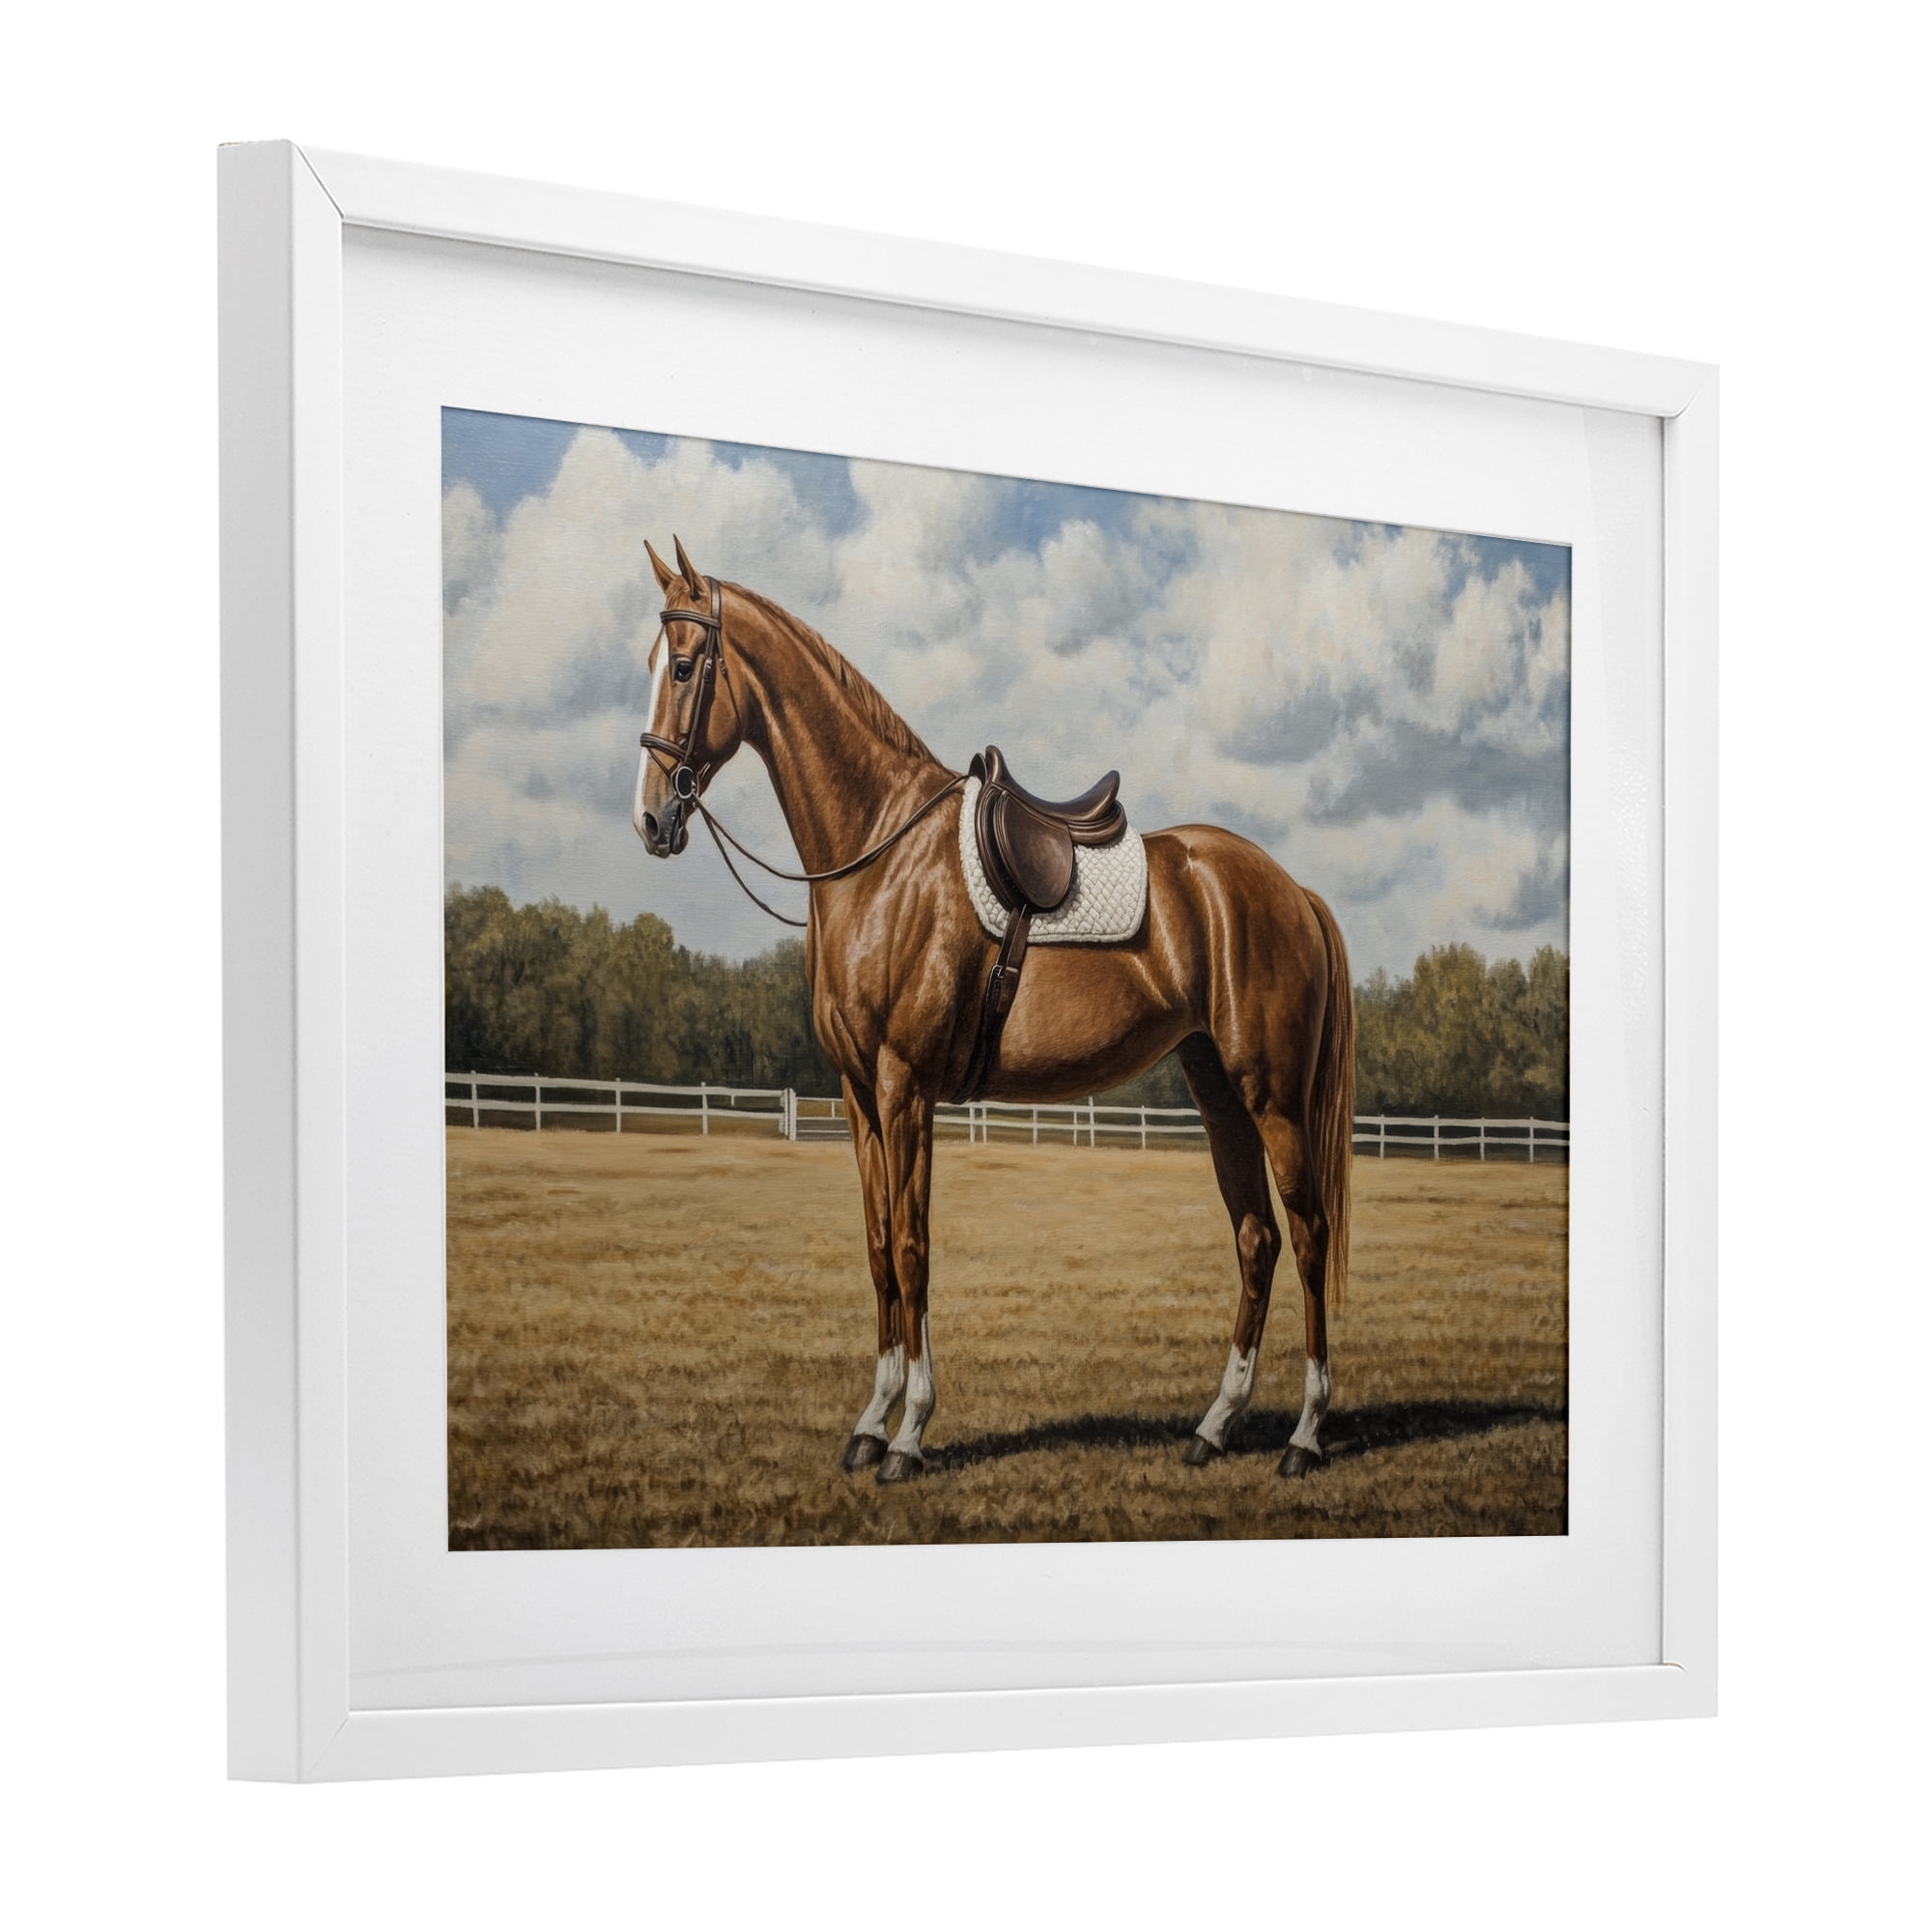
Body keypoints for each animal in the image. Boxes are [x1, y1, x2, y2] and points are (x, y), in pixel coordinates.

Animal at [632, 535, 1354, 1485]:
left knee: (1306, 1235)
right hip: (1217, 1091)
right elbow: (878, 1249)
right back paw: (1214, 1427)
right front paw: (870, 1421)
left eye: (683, 666)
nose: (651, 820)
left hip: (1271, 1095)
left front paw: (909, 1432)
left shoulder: (905, 1087)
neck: (880, 854)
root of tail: (1290, 888)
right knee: (1257, 1239)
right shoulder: (858, 1095)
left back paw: (1303, 1437)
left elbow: (913, 1246)